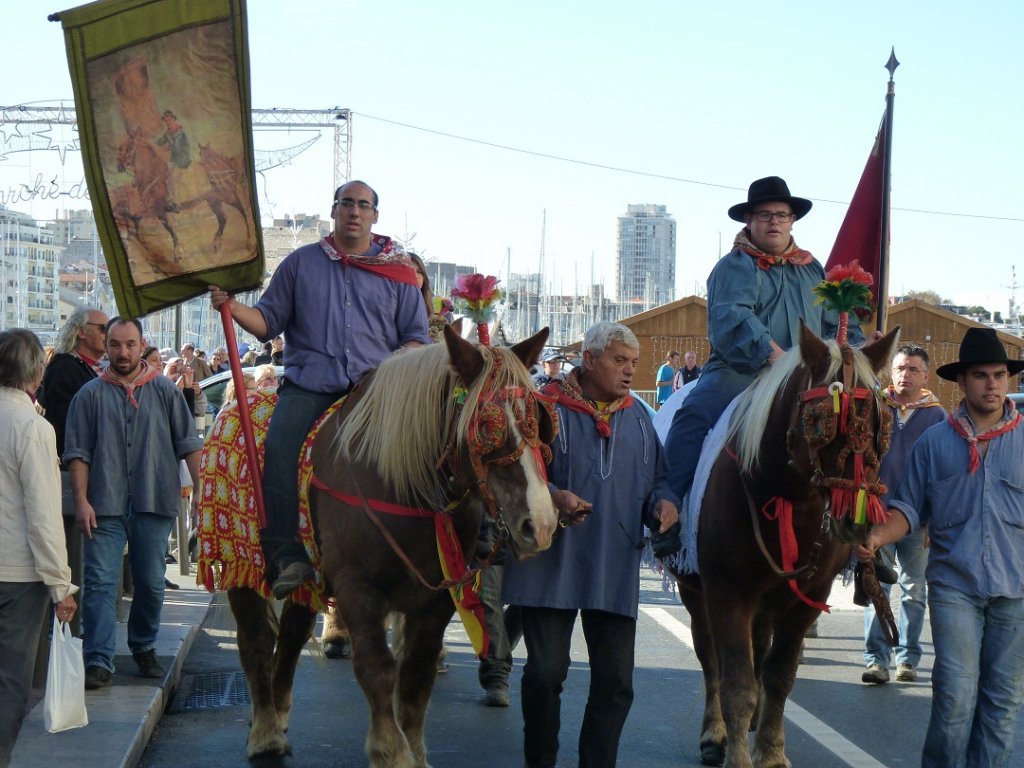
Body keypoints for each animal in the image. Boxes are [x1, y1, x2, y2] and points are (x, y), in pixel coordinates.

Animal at [195, 327, 557, 768]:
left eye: (540, 418)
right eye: (486, 425)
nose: (540, 523)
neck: (398, 480)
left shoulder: (435, 601)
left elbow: (416, 676)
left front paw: (414, 751)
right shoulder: (359, 589)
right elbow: (377, 668)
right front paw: (391, 751)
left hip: (306, 579)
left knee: (293, 637)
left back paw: (278, 716)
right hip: (240, 566)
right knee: (256, 643)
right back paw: (265, 733)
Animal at [675, 323, 901, 768]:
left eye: (883, 422)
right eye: (820, 420)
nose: (857, 521)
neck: (786, 499)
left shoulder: (805, 600)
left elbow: (778, 675)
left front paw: (771, 750)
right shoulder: (727, 593)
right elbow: (735, 682)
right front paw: (738, 754)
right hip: (696, 592)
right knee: (709, 657)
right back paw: (715, 733)